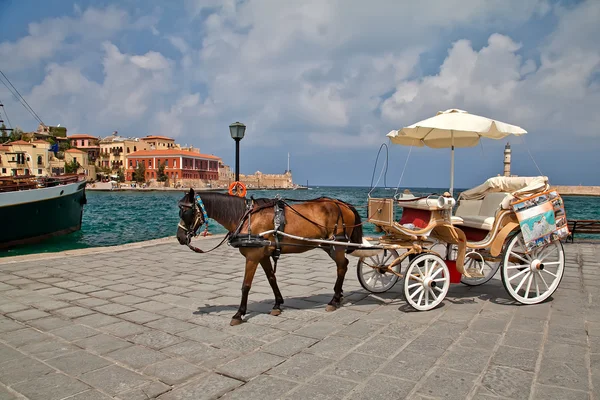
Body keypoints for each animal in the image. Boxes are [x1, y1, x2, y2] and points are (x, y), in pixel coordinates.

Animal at [176, 190, 364, 324]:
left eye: (186, 212)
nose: (180, 237)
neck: (246, 217)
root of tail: (343, 204)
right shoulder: (263, 255)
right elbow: (272, 278)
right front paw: (277, 304)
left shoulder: (252, 257)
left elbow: (246, 285)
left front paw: (239, 313)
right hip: (327, 245)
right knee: (343, 265)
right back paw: (338, 296)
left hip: (336, 244)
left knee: (342, 266)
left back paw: (334, 300)